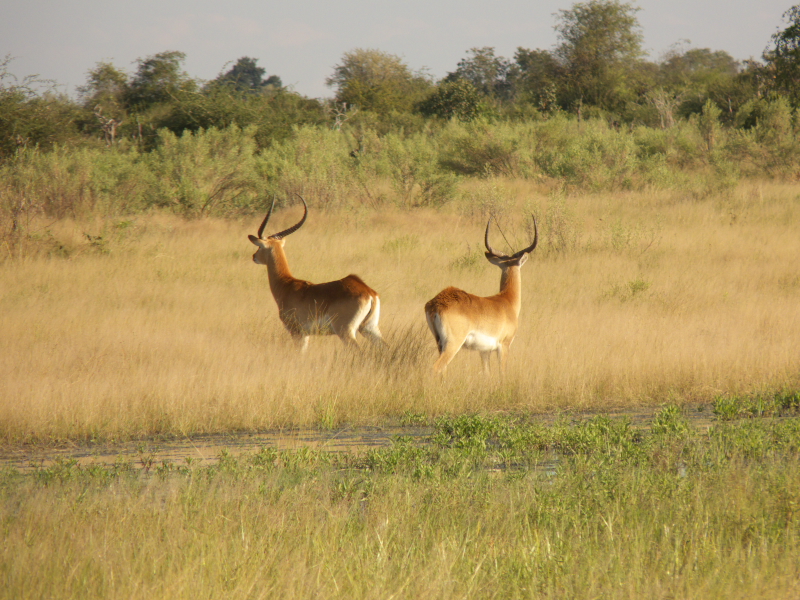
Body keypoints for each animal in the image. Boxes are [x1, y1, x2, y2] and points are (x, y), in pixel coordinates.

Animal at [248, 195, 386, 351]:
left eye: (259, 247)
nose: (254, 256)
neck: (286, 284)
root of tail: (369, 292)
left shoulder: (297, 332)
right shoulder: (306, 335)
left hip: (346, 331)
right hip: (369, 328)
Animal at [425, 215, 538, 373]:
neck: (506, 300)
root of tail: (436, 304)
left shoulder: (484, 351)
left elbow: (486, 373)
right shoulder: (504, 346)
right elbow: (502, 373)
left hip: (439, 343)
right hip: (453, 344)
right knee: (436, 367)